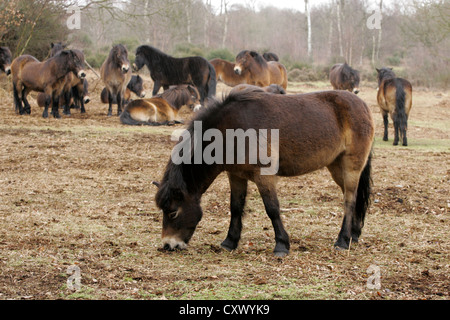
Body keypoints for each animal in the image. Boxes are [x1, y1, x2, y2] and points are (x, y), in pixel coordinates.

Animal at [153, 89, 374, 258]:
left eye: (173, 212)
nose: (168, 245)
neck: (232, 130)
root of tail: (362, 105)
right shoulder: (236, 176)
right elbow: (235, 207)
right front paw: (229, 242)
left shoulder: (264, 176)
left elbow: (272, 209)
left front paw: (281, 245)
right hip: (336, 167)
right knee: (353, 198)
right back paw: (354, 234)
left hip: (350, 166)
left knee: (349, 200)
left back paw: (343, 240)